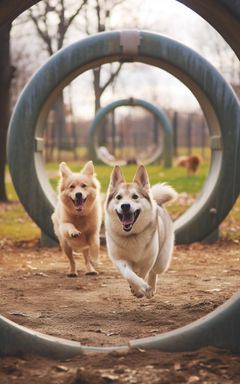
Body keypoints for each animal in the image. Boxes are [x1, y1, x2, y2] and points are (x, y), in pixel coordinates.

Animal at [104, 164, 176, 298]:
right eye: (118, 197)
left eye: (135, 196)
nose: (125, 206)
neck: (131, 235)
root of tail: (157, 202)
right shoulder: (119, 259)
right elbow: (129, 274)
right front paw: (138, 287)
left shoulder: (148, 260)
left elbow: (143, 273)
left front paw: (140, 289)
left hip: (162, 262)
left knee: (154, 271)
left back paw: (151, 289)